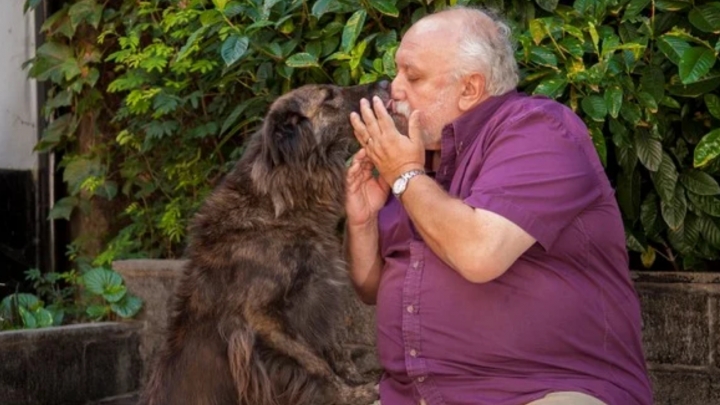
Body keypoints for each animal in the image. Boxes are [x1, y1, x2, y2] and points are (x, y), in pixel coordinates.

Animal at [138, 82, 390, 404]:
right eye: (329, 96)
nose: (384, 82)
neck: (276, 207)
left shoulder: (318, 296)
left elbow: (334, 348)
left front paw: (356, 380)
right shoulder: (260, 317)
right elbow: (316, 362)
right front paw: (350, 394)